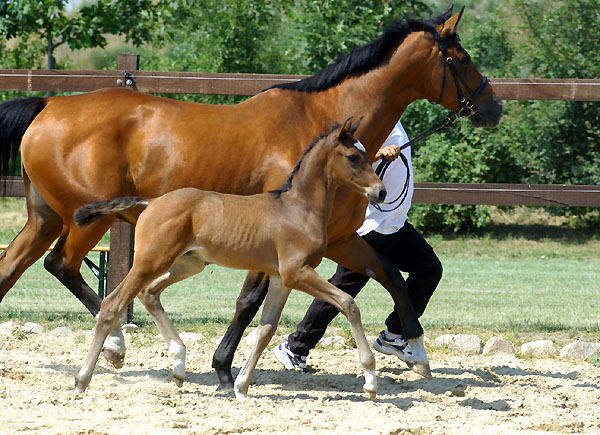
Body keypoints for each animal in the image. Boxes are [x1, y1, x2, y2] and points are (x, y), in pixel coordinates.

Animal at [74, 120, 384, 402]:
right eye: (353, 157)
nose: (380, 191)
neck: (298, 209)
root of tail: (152, 202)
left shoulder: (281, 279)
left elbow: (266, 330)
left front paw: (242, 387)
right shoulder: (297, 272)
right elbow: (348, 303)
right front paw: (370, 381)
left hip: (188, 263)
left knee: (148, 293)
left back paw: (179, 366)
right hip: (151, 261)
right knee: (112, 304)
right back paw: (82, 380)